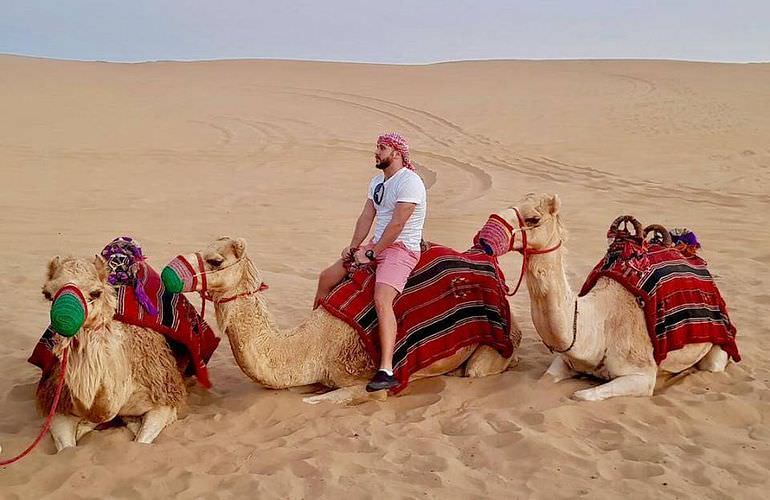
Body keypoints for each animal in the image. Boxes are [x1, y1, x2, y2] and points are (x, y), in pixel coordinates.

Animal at [39, 256, 188, 452]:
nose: (65, 319)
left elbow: (141, 441)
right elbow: (67, 448)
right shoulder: (58, 403)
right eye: (48, 294)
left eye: (96, 293)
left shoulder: (164, 398)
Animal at [163, 236, 520, 404]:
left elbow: (314, 402)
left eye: (215, 260)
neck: (314, 344)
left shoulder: (363, 384)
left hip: (496, 342)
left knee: (482, 366)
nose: (169, 271)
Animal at [498, 193, 728, 400]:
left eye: (533, 219)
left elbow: (581, 395)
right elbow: (543, 381)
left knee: (712, 365)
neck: (597, 324)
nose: (492, 222)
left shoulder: (641, 375)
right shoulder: (564, 360)